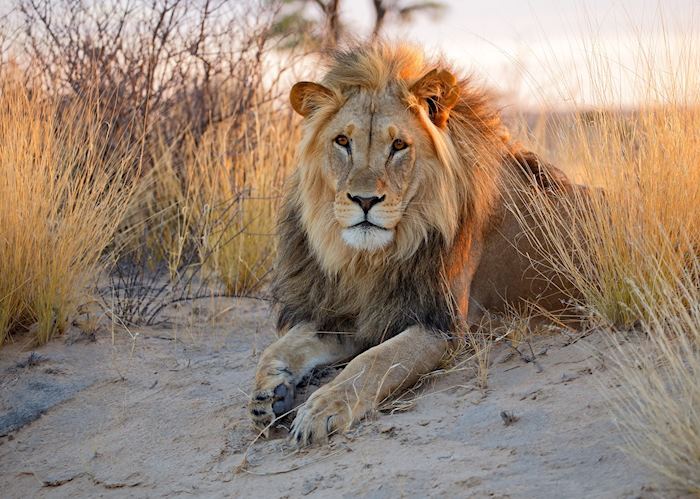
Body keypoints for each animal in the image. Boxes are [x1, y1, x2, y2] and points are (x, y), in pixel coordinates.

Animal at [249, 43, 583, 445]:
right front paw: (269, 393)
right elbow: (281, 346)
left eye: (398, 146)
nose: (364, 200)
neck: (371, 259)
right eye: (342, 142)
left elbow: (372, 362)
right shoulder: (358, 312)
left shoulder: (443, 325)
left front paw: (322, 409)